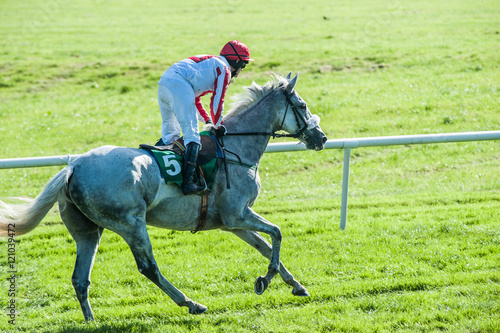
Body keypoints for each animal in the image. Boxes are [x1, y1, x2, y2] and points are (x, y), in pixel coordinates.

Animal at [1, 73, 328, 320]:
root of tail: (73, 167)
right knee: (149, 267)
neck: (236, 149)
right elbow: (277, 232)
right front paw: (265, 280)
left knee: (80, 278)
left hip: (87, 232)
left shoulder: (231, 223)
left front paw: (296, 285)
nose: (322, 137)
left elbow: (264, 244)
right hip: (131, 223)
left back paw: (91, 320)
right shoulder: (237, 214)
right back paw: (191, 303)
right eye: (302, 104)